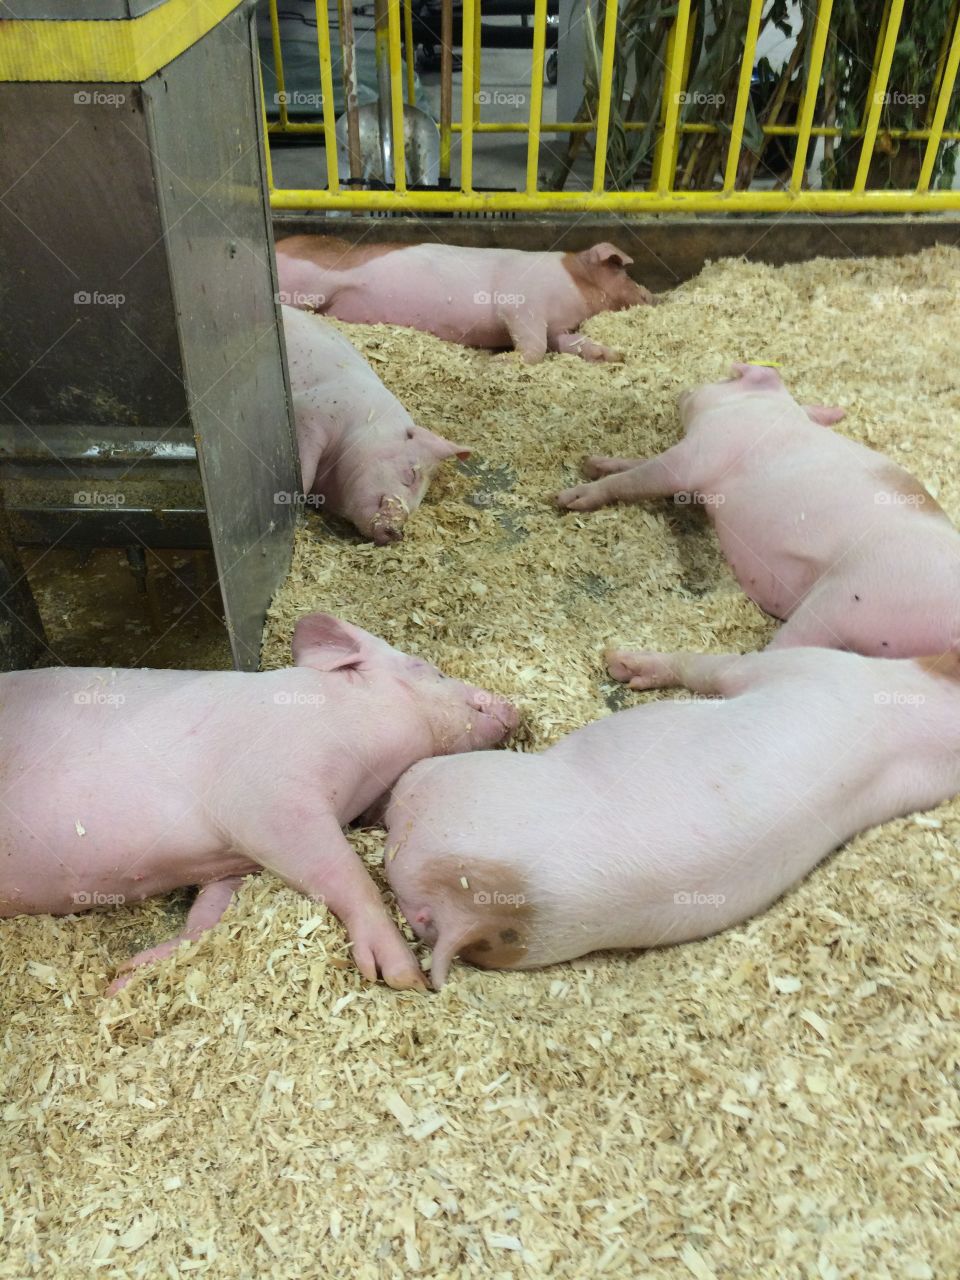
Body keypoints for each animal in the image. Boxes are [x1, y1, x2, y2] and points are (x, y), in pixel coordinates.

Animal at [0, 613, 517, 993]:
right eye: (428, 670)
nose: (514, 706)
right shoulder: (271, 802)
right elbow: (346, 875)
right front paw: (403, 976)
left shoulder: (233, 858)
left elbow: (207, 916)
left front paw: (124, 981)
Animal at [276, 236, 654, 363]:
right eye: (624, 271)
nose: (651, 295)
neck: (574, 285)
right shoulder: (521, 303)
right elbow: (533, 348)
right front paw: (500, 363)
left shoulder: (558, 328)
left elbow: (567, 343)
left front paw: (612, 355)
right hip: (310, 286)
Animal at [557, 363, 960, 657]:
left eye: (726, 376)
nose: (685, 386)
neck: (766, 408)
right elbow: (636, 465)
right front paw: (592, 462)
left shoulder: (702, 453)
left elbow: (639, 478)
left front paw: (567, 499)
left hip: (852, 604)